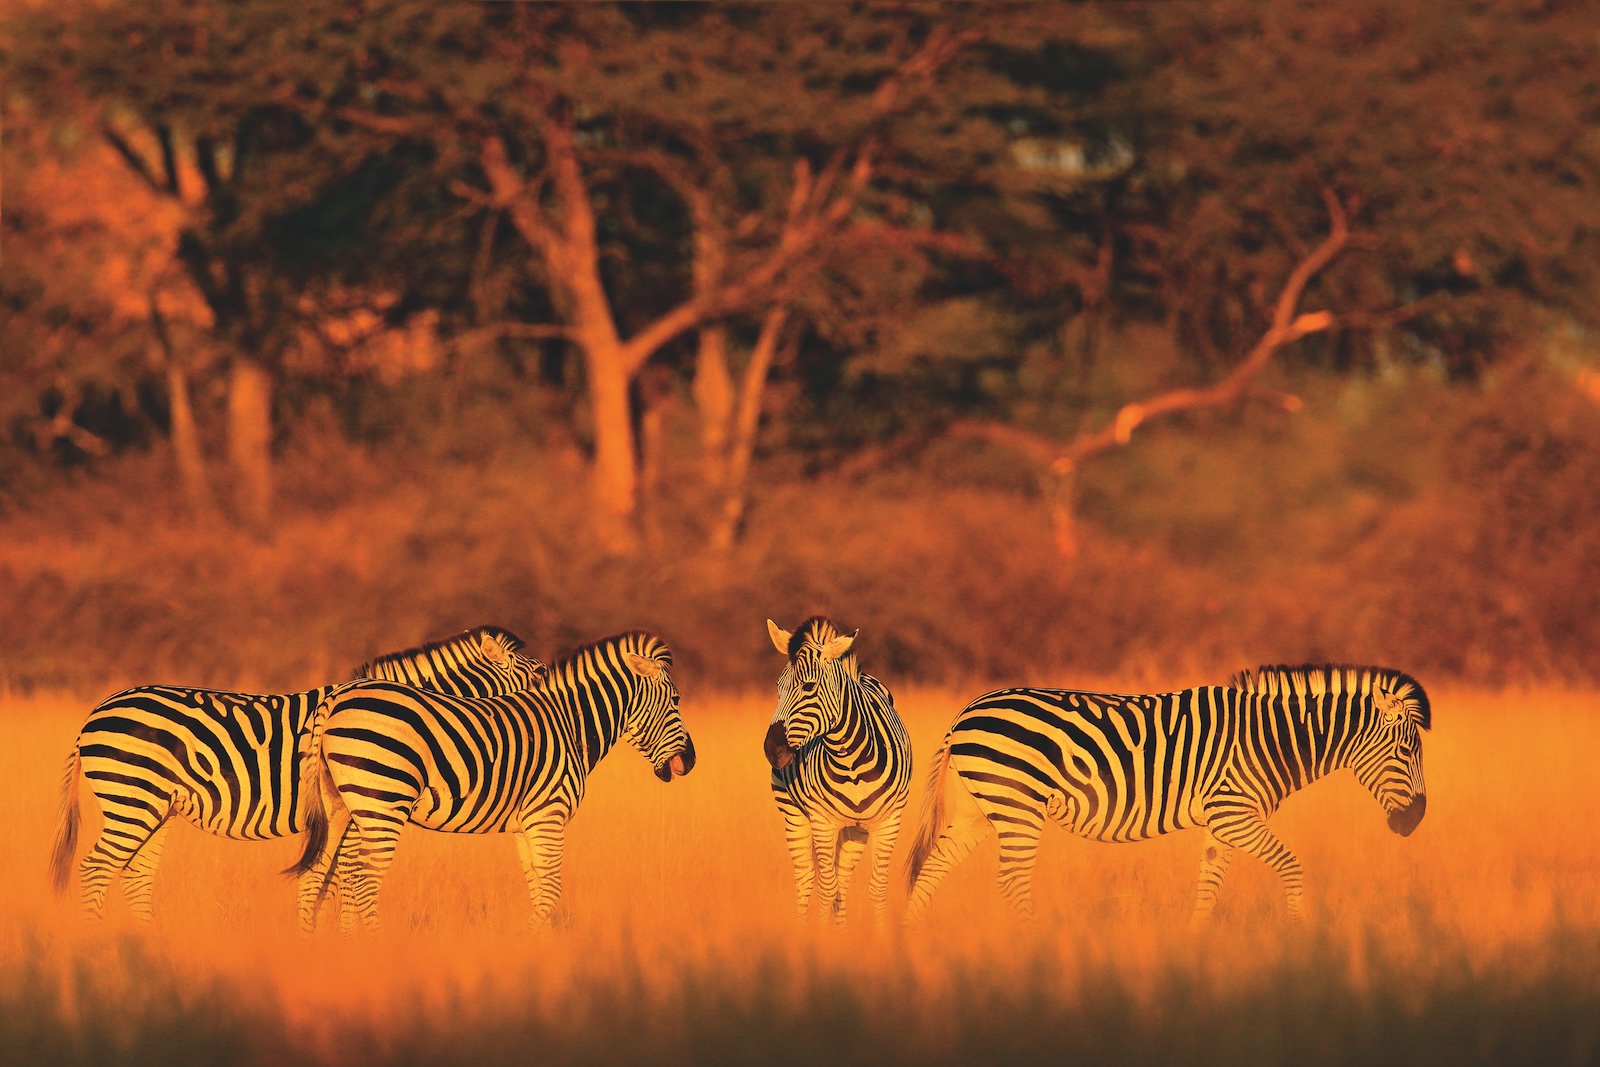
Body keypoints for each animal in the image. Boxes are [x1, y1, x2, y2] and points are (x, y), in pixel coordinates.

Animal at [49, 626, 546, 922]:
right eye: (542, 675)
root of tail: (96, 711)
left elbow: (329, 883)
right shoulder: (355, 813)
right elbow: (341, 883)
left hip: (156, 807)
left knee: (135, 874)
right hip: (133, 797)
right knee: (97, 868)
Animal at [287, 630, 694, 932]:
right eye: (676, 700)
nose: (691, 761)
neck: (570, 723)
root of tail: (336, 698)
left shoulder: (527, 823)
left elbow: (538, 887)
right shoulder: (549, 814)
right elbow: (551, 890)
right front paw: (527, 943)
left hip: (338, 806)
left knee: (313, 878)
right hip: (382, 801)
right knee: (364, 882)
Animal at [763, 617, 912, 926]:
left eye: (809, 686)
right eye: (777, 687)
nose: (772, 750)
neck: (852, 761)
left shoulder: (890, 820)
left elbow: (876, 887)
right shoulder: (822, 821)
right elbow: (825, 888)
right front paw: (822, 936)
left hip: (856, 829)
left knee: (842, 878)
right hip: (792, 812)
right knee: (807, 877)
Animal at [904, 664, 1429, 924]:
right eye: (1406, 751)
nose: (1416, 821)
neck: (1272, 740)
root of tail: (965, 714)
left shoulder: (1222, 821)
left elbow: (1209, 884)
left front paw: (1195, 949)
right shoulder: (1235, 812)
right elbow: (1291, 865)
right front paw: (1300, 935)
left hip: (979, 809)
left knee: (931, 869)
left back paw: (909, 944)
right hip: (1017, 806)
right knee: (1010, 882)